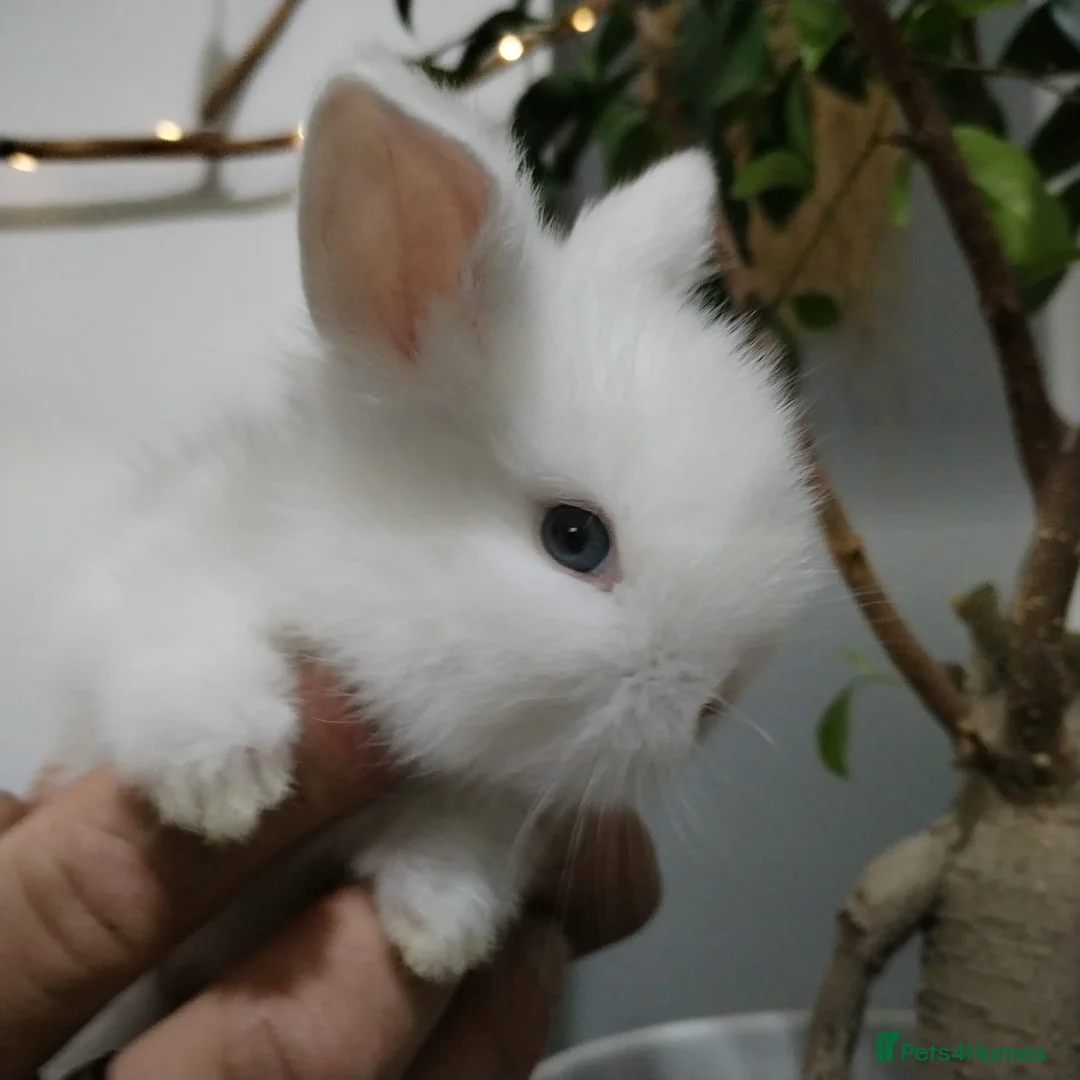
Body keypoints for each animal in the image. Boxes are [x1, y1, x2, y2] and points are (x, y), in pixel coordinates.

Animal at [37, 49, 819, 1013]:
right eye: (575, 539)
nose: (717, 699)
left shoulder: (483, 795)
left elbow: (459, 834)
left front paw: (441, 930)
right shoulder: (153, 588)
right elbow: (182, 649)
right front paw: (225, 778)